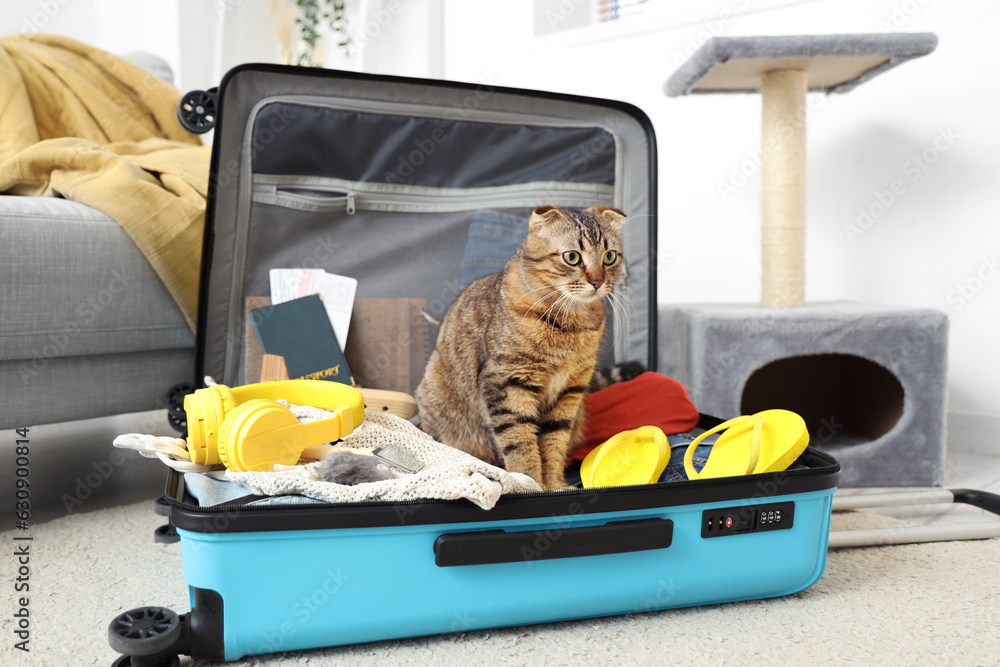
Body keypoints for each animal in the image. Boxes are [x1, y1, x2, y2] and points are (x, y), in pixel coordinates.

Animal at [414, 205, 624, 490]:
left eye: (609, 256)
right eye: (572, 257)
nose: (597, 281)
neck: (571, 321)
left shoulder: (570, 391)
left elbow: (554, 443)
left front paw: (554, 485)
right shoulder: (507, 383)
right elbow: (520, 442)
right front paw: (530, 483)